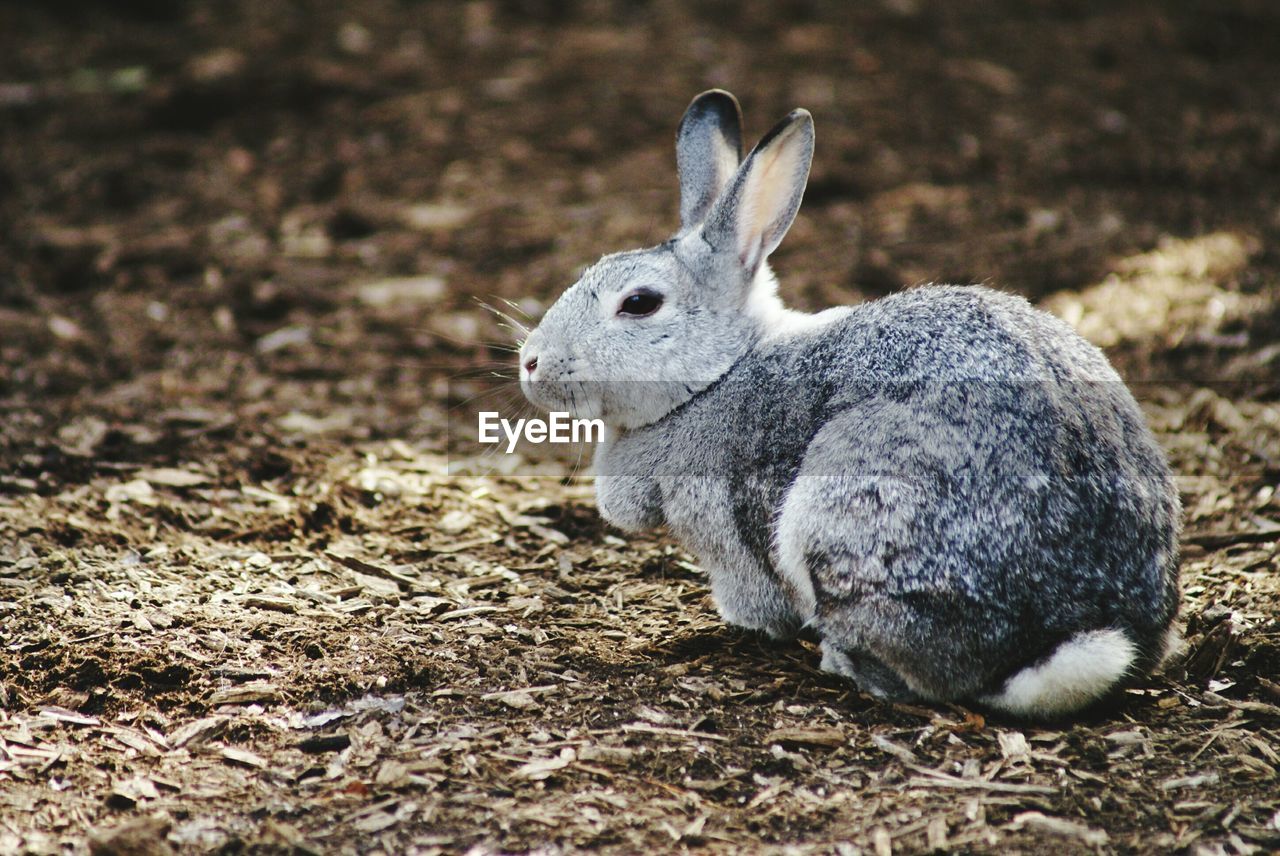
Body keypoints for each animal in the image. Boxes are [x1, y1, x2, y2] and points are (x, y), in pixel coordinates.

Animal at [517, 90, 1177, 716]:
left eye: (639, 304)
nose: (531, 363)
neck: (718, 374)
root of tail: (1065, 632)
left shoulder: (726, 538)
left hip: (849, 507)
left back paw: (843, 662)